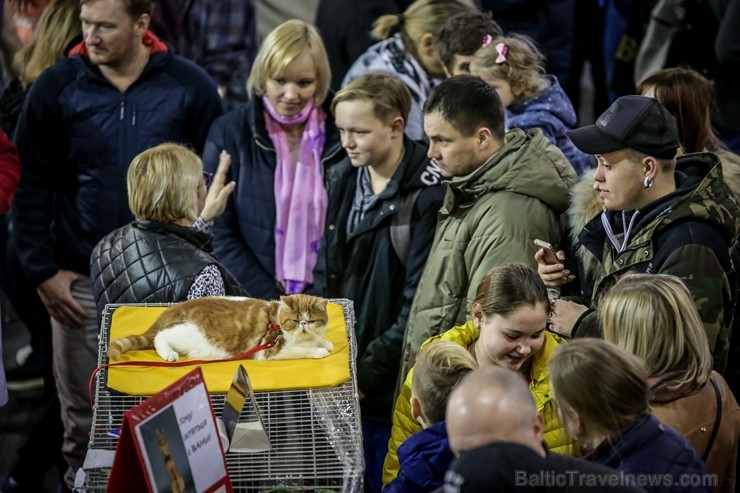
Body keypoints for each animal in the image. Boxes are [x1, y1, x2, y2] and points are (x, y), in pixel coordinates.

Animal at [106, 292, 332, 362]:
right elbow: (302, 350)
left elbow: (319, 340)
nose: (303, 325)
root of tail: (174, 308)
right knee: (159, 337)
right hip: (186, 333)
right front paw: (319, 350)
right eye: (295, 320)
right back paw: (169, 354)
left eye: (311, 320)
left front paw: (325, 343)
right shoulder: (271, 351)